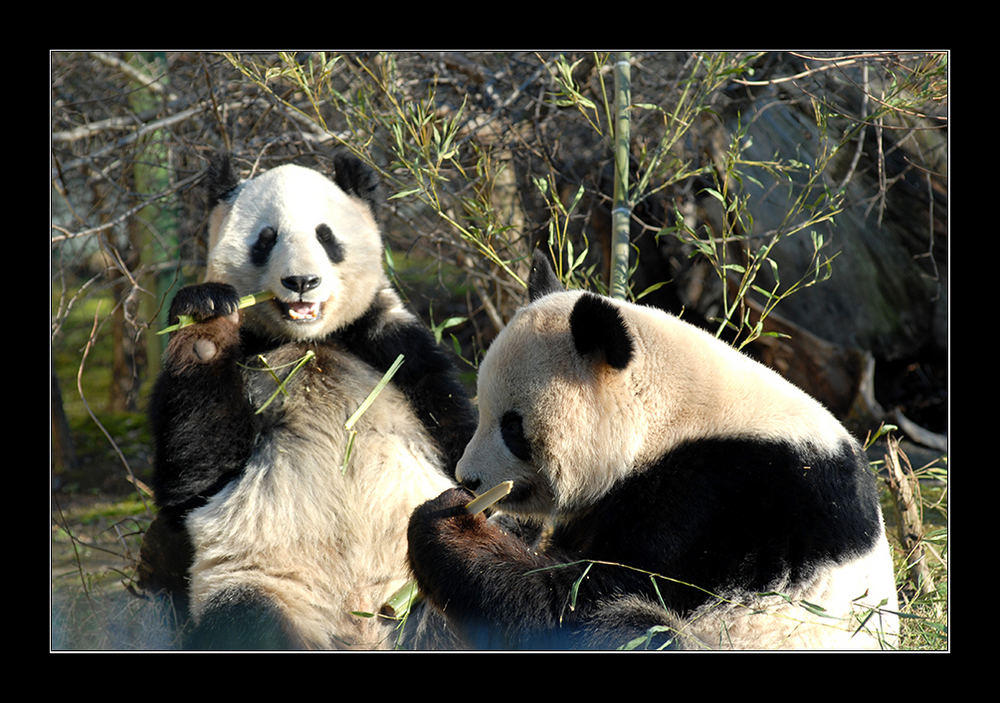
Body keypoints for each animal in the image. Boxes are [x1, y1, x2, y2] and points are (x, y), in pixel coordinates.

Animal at [141, 151, 476, 652]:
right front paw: (205, 326)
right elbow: (194, 476)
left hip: (417, 589)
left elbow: (458, 433)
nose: (302, 280)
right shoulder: (250, 360)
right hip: (264, 583)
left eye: (326, 236)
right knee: (248, 622)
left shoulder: (393, 349)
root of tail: (360, 630)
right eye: (265, 239)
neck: (309, 343)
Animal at [406, 250, 900, 652]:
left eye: (513, 427)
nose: (469, 479)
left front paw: (450, 528)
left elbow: (573, 602)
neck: (671, 415)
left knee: (634, 630)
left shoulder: (717, 502)